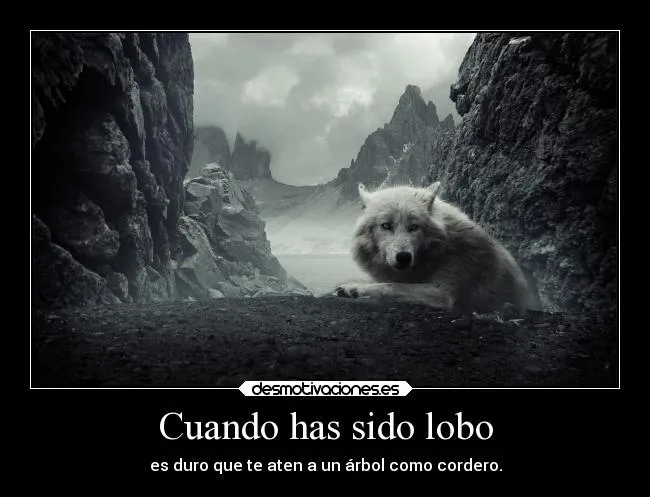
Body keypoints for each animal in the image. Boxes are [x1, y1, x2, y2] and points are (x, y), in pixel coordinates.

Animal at [334, 182, 533, 314]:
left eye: (414, 227)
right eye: (386, 226)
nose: (404, 257)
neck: (438, 251)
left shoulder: (443, 294)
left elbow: (392, 286)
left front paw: (355, 288)